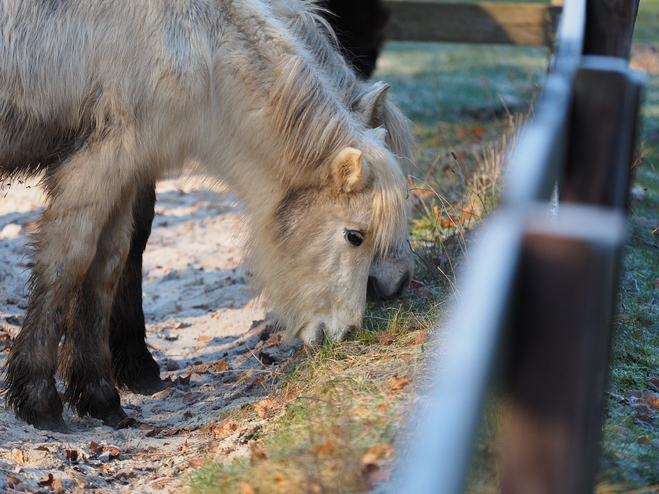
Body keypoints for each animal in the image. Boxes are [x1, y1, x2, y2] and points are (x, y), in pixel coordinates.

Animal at [0, 0, 412, 432]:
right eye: (355, 236)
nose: (344, 332)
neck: (201, 50)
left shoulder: (125, 172)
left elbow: (107, 266)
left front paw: (100, 396)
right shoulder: (100, 162)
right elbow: (68, 263)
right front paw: (38, 399)